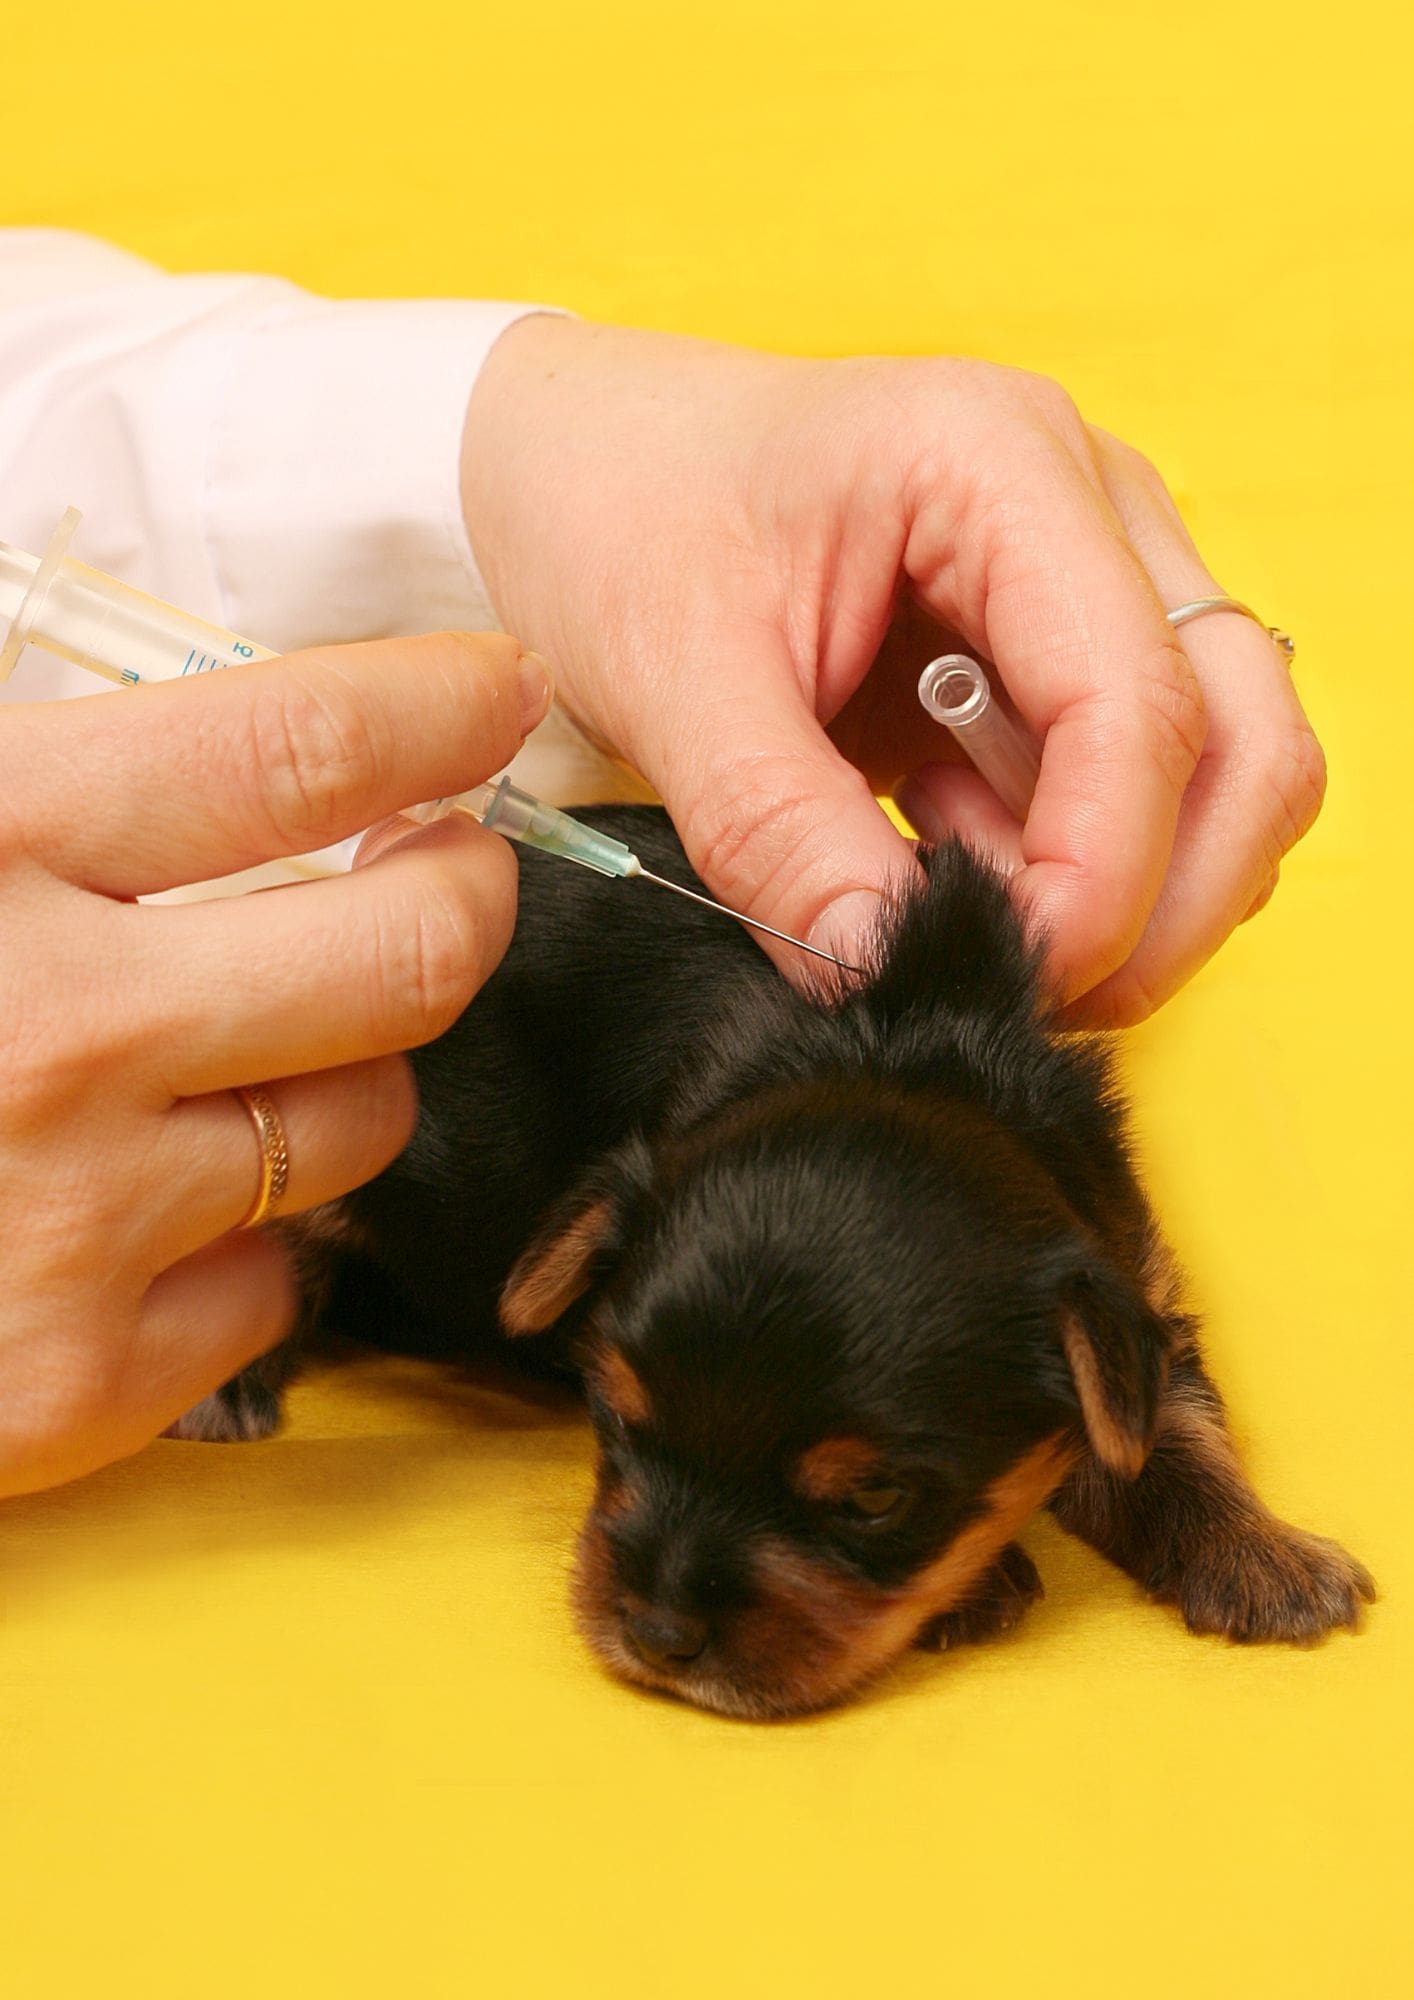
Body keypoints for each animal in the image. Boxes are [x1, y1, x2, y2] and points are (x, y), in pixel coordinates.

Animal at [183, 804, 1376, 1712]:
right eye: (614, 1422)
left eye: (874, 1500)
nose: (659, 1636)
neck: (916, 1063)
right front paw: (984, 1584)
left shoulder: (1130, 1282)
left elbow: (1172, 1427)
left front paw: (1264, 1557)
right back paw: (222, 1381)